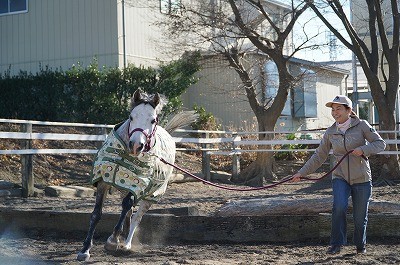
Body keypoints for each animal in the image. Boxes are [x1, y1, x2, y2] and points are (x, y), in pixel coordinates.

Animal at [76, 89, 197, 260]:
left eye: (153, 120)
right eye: (131, 117)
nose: (136, 145)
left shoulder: (138, 186)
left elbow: (127, 206)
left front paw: (112, 241)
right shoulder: (103, 181)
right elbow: (96, 214)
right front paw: (85, 249)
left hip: (150, 196)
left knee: (135, 217)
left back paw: (126, 244)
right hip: (124, 188)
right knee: (129, 213)